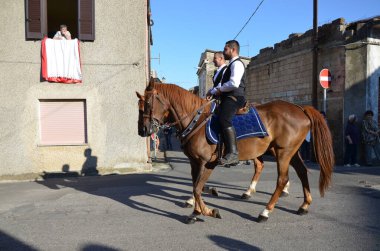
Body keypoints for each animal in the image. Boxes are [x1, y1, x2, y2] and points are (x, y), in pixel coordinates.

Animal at [139, 80, 332, 224]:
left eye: (148, 103)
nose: (142, 130)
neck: (197, 119)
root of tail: (300, 108)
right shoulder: (195, 162)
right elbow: (196, 187)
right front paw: (197, 210)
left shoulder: (207, 162)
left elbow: (197, 188)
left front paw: (208, 211)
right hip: (290, 151)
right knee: (301, 171)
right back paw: (304, 205)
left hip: (283, 152)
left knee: (281, 179)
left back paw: (265, 211)